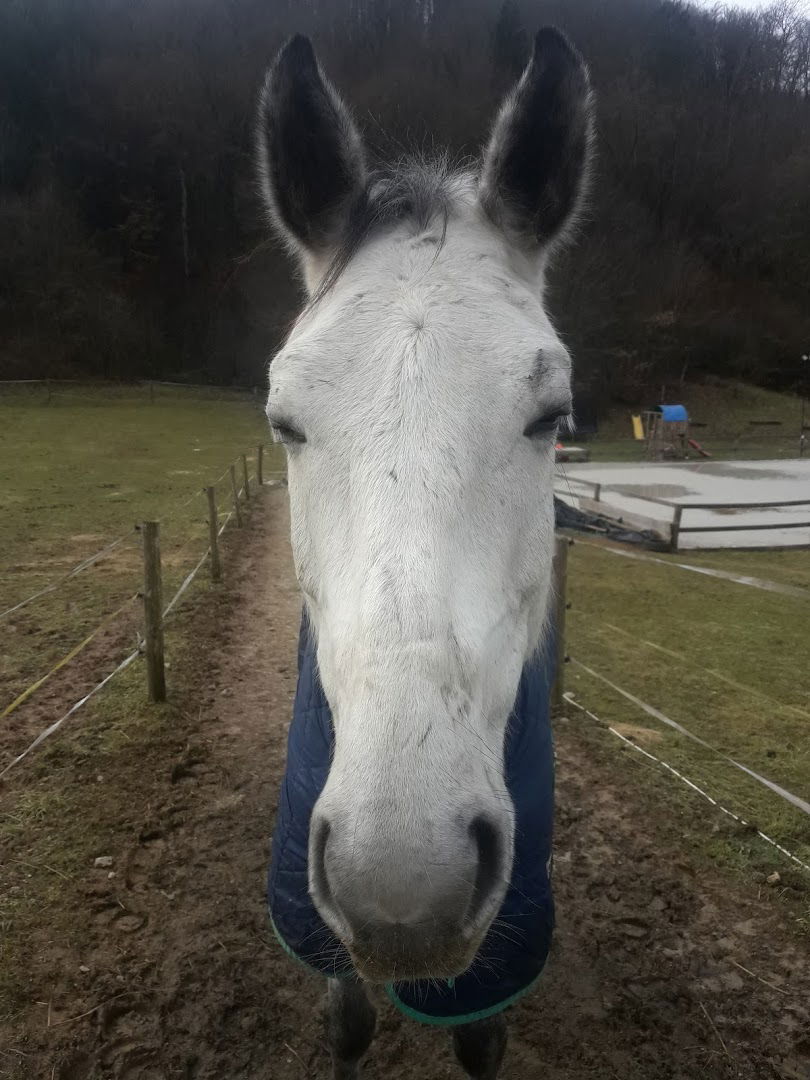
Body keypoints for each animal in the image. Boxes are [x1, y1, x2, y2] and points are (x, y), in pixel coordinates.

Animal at [257, 29, 591, 1075]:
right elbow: (350, 1022)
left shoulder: (503, 953)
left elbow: (481, 1041)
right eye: (285, 422)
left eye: (551, 417)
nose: (403, 887)